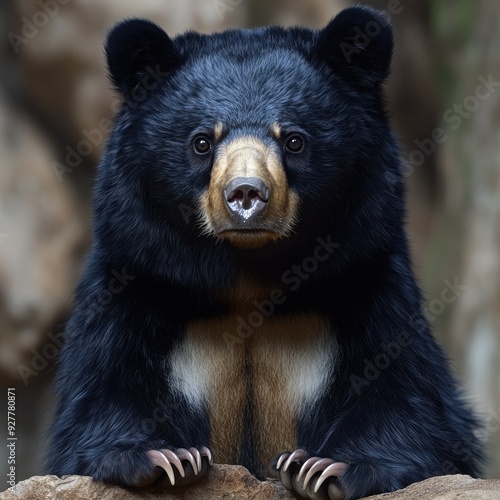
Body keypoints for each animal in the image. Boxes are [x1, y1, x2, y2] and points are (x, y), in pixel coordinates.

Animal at [48, 4, 482, 500]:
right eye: (202, 141)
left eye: (293, 139)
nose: (246, 194)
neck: (248, 280)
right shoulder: (136, 274)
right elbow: (102, 389)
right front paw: (166, 458)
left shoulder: (369, 275)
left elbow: (407, 396)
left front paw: (323, 467)